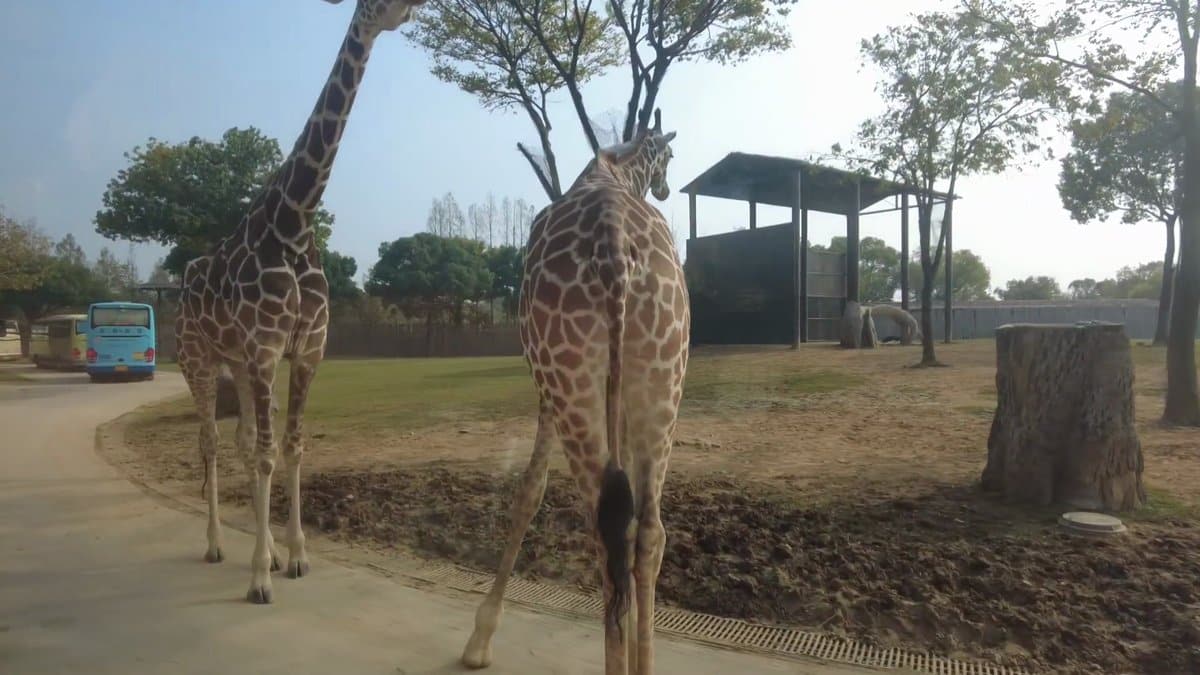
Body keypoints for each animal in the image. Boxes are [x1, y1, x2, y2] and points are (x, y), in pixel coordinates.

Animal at [174, 0, 426, 605]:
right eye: (371, 4)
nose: (410, 9)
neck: (294, 221)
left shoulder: (307, 349)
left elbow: (290, 446)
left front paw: (293, 557)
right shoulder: (267, 348)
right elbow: (269, 453)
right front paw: (261, 579)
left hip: (237, 363)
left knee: (241, 441)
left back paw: (253, 548)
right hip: (198, 358)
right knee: (210, 442)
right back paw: (216, 546)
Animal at [461, 113, 689, 675]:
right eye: (671, 156)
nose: (665, 186)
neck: (612, 168)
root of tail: (614, 244)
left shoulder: (546, 389)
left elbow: (529, 491)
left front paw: (480, 639)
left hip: (571, 381)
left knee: (606, 533)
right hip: (661, 377)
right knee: (646, 532)